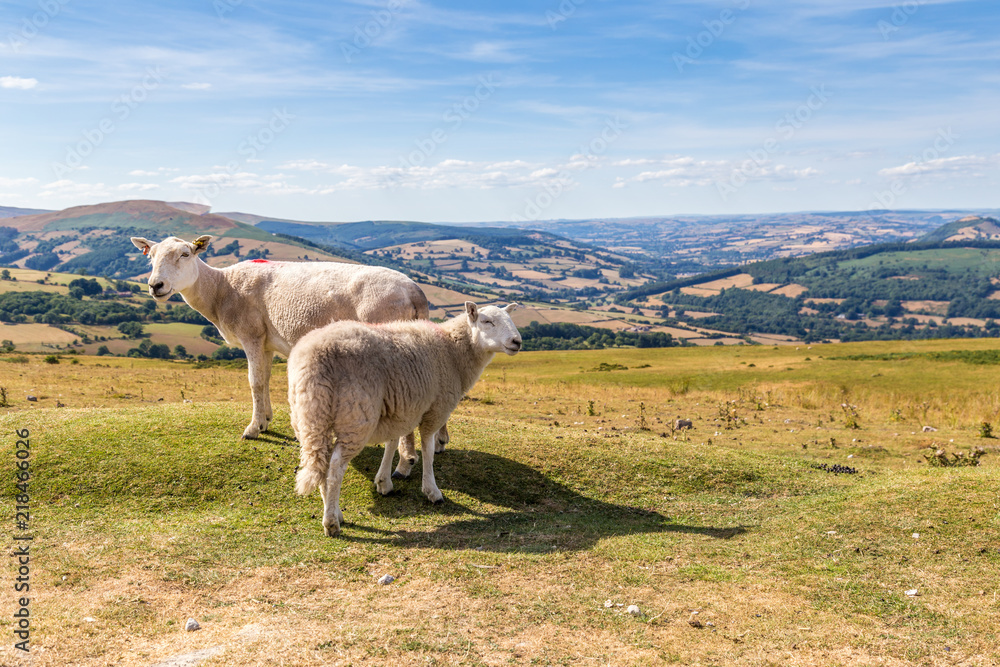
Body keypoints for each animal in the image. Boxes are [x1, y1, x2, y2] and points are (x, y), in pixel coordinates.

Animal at [129, 235, 444, 473]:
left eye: (185, 254)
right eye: (150, 257)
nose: (155, 285)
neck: (220, 290)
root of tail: (415, 292)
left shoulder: (251, 334)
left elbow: (254, 382)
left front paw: (253, 428)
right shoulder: (265, 341)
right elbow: (265, 380)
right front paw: (266, 419)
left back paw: (405, 462)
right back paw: (438, 442)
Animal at [289, 301, 521, 537]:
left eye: (510, 320)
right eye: (487, 321)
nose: (517, 342)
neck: (453, 351)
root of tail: (315, 358)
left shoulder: (399, 409)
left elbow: (391, 443)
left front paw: (384, 482)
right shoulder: (435, 409)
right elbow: (428, 449)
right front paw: (432, 491)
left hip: (308, 417)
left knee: (322, 462)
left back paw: (335, 512)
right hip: (356, 417)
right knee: (335, 466)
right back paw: (331, 523)